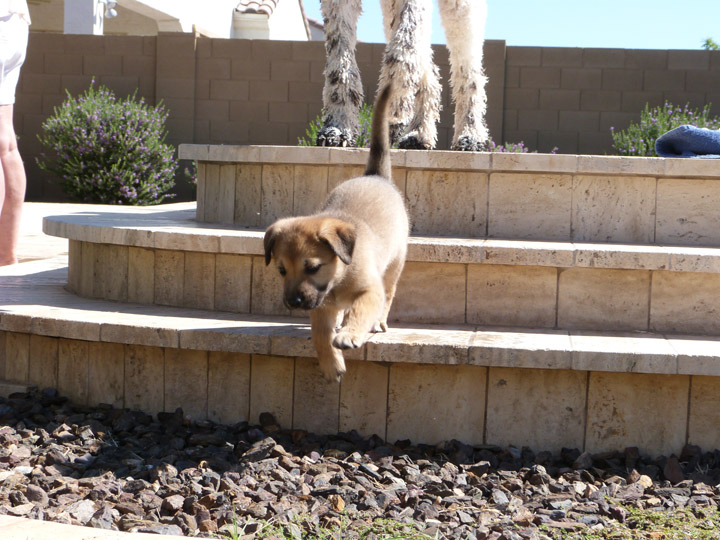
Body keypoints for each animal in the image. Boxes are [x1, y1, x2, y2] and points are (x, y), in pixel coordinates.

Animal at [264, 85, 410, 380]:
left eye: (312, 267)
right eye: (281, 270)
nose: (294, 302)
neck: (339, 278)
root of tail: (375, 175)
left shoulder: (369, 291)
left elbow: (361, 310)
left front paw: (350, 335)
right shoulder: (320, 306)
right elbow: (321, 335)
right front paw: (332, 365)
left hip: (394, 265)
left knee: (388, 295)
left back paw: (377, 322)